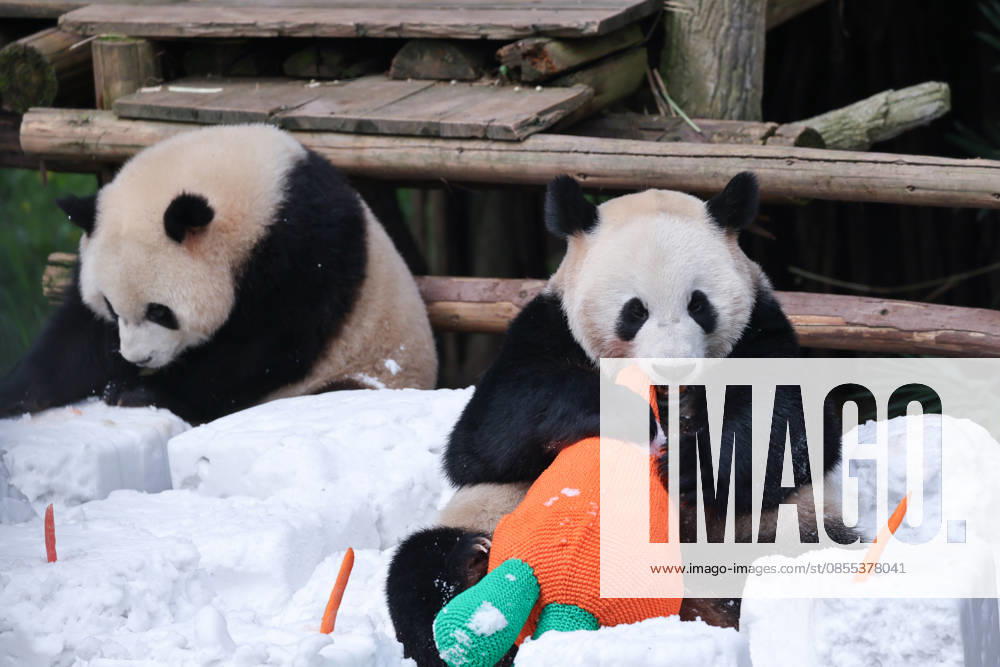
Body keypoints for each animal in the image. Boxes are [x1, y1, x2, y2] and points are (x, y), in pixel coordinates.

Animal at [0, 124, 437, 425]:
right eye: (110, 306)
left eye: (160, 311)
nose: (139, 357)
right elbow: (78, 337)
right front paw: (17, 393)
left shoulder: (305, 249)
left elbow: (262, 348)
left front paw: (138, 390)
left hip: (369, 369)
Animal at [387, 173, 851, 665]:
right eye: (635, 310)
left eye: (699, 304)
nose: (672, 368)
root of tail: (696, 607)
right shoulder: (545, 328)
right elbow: (484, 437)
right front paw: (628, 414)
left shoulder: (762, 330)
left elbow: (796, 425)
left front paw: (686, 465)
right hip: (489, 514)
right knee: (418, 570)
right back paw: (469, 575)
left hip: (769, 528)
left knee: (819, 554)